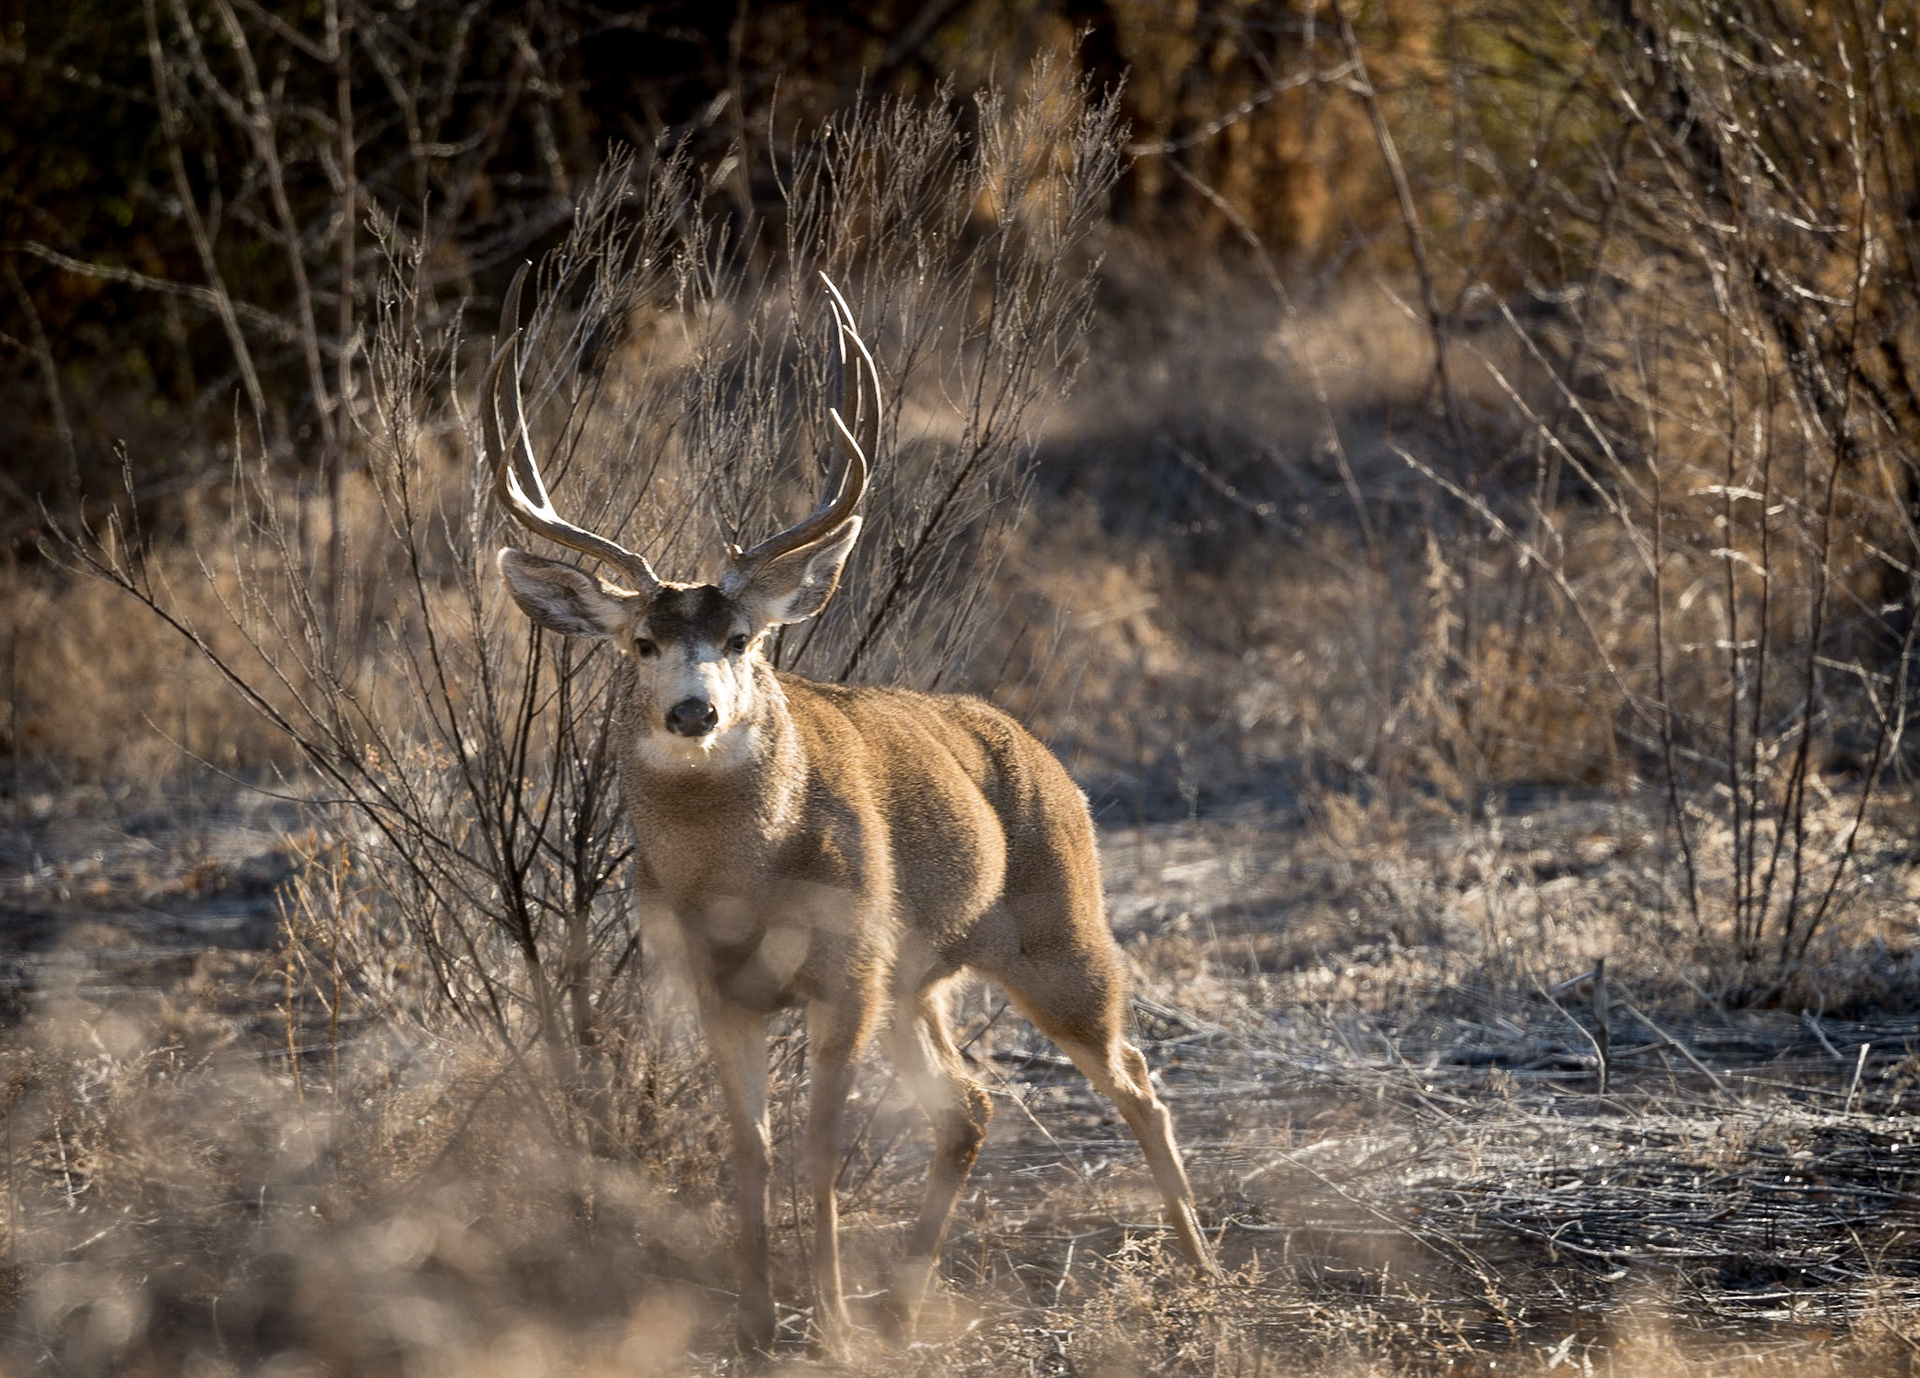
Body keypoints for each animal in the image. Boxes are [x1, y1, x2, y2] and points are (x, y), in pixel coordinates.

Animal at [483, 269, 1215, 1352]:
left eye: (743, 638)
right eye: (641, 643)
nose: (694, 710)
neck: (738, 879)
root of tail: (1050, 760)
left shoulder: (845, 970)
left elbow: (819, 1148)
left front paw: (825, 1320)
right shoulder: (716, 984)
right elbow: (749, 1146)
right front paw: (756, 1320)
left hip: (1056, 930)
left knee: (1132, 1073)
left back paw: (1204, 1269)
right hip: (918, 974)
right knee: (970, 1103)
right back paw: (905, 1304)